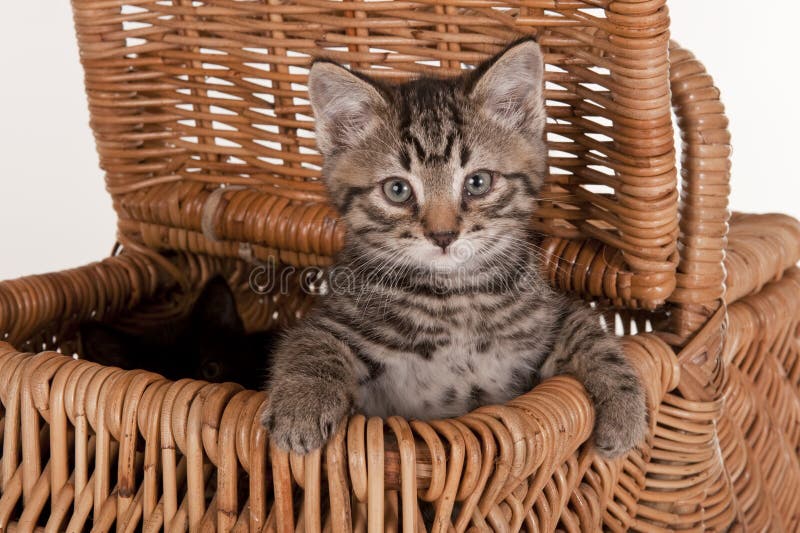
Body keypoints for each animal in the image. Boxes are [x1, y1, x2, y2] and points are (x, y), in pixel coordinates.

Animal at [262, 38, 648, 458]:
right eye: (397, 190)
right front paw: (300, 407)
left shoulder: (549, 317)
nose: (443, 235)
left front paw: (626, 409)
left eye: (478, 182)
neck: (457, 300)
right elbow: (311, 345)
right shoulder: (334, 320)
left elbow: (591, 334)